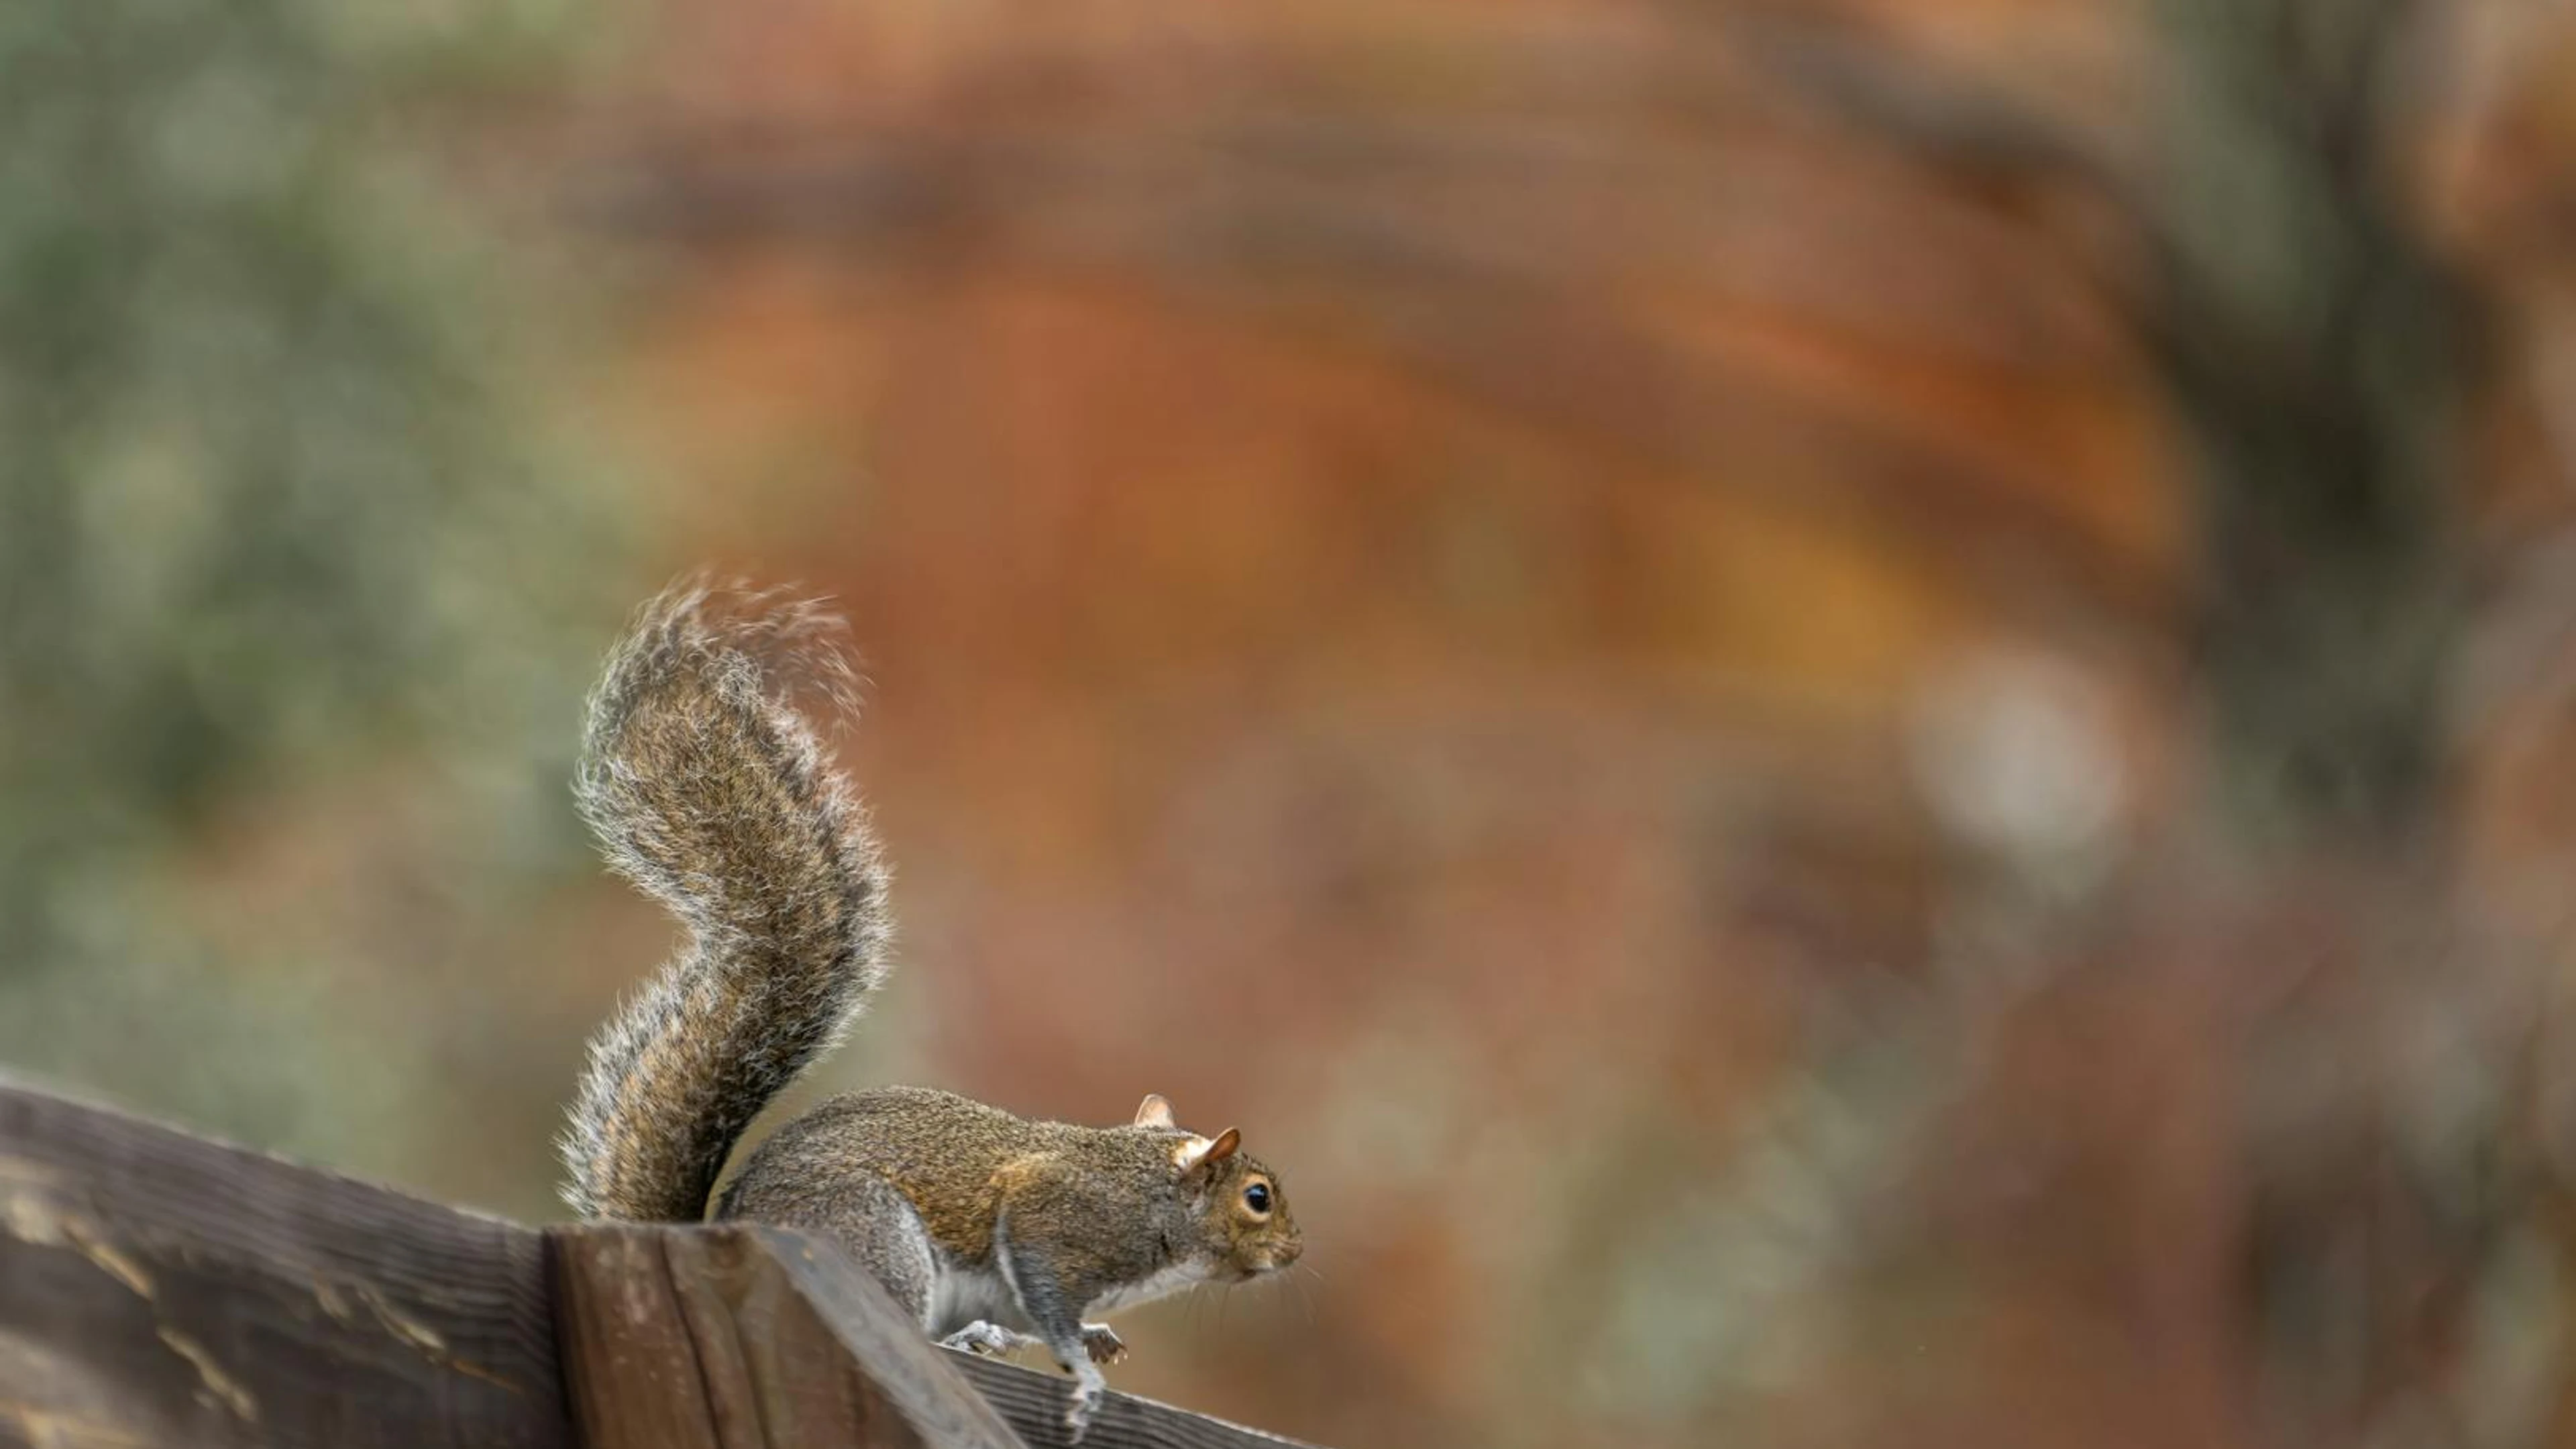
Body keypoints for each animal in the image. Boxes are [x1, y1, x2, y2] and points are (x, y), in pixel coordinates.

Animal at [556, 583, 1302, 1441]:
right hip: (873, 1237)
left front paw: (1093, 1337)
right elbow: (1046, 1295)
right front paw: (1081, 1367)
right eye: (1257, 1199)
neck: (1152, 1193)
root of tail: (723, 1227)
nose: (1295, 1253)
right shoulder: (1056, 1222)